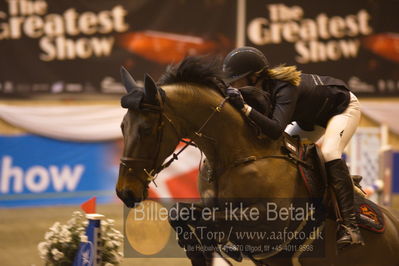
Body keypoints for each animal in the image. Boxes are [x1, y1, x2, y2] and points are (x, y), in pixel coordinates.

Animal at [115, 56, 399, 266]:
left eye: (146, 130)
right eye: (122, 126)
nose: (124, 192)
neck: (235, 155)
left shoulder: (270, 222)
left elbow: (197, 216)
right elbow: (180, 212)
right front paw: (199, 248)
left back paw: (349, 232)